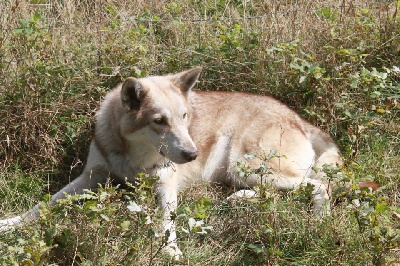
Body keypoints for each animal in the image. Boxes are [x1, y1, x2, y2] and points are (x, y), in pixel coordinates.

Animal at [0, 67, 344, 260]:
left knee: (320, 185)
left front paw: (170, 249)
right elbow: (43, 206)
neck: (133, 156)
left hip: (248, 167)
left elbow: (166, 221)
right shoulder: (90, 178)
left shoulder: (166, 182)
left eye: (184, 117)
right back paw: (240, 200)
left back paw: (320, 219)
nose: (193, 154)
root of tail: (297, 117)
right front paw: (10, 222)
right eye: (159, 121)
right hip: (245, 173)